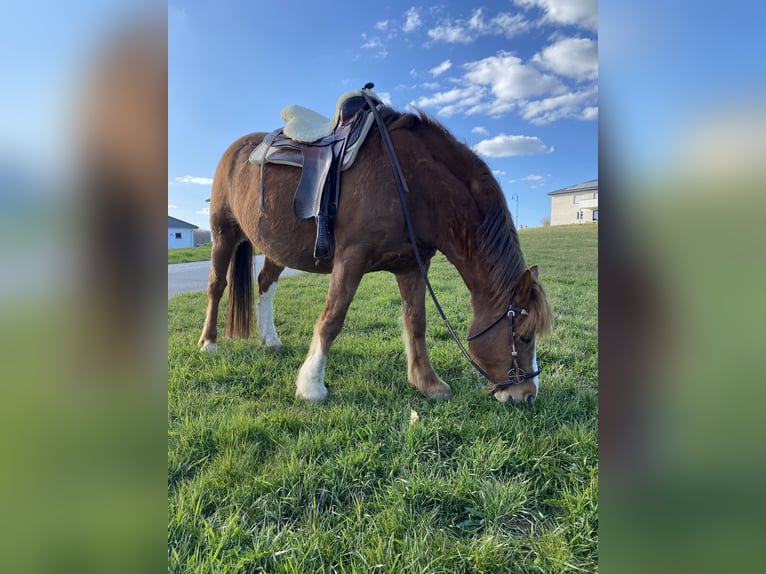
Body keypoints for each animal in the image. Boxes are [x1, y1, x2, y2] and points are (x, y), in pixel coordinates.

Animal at [197, 101, 552, 405]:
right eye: (523, 337)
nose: (527, 395)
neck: (410, 182)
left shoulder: (413, 265)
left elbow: (416, 322)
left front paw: (427, 382)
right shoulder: (351, 258)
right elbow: (332, 318)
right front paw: (312, 385)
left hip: (276, 249)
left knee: (265, 283)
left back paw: (269, 340)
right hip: (223, 234)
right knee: (216, 286)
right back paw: (209, 343)